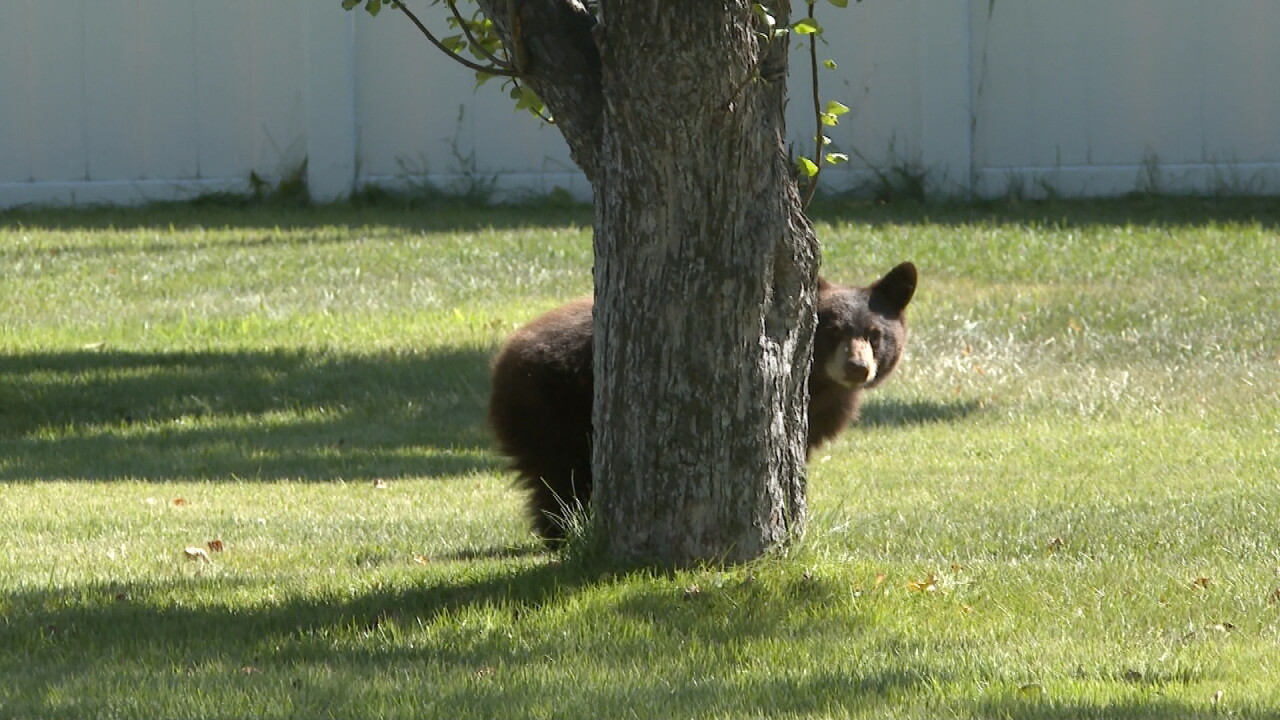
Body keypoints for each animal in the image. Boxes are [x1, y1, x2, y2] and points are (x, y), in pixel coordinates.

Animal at [488, 261, 917, 542]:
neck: (821, 385)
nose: (857, 367)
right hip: (553, 407)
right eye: (832, 330)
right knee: (563, 477)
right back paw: (563, 534)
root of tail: (504, 359)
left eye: (875, 334)